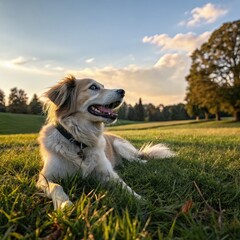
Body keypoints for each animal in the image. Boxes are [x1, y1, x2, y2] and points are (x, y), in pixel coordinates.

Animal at [36, 76, 174, 209]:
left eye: (103, 86)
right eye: (93, 87)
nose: (122, 91)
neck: (80, 140)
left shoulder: (107, 172)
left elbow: (123, 185)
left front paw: (139, 199)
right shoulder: (44, 178)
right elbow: (56, 186)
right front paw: (63, 204)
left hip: (120, 145)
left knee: (137, 157)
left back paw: (143, 162)